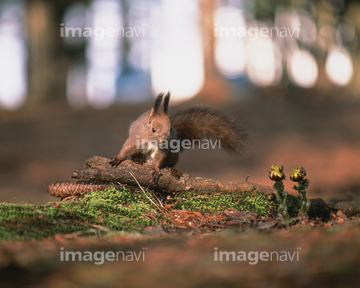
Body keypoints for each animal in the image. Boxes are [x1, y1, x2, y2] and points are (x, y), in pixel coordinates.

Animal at [109, 92, 248, 182]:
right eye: (153, 129)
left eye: (170, 129)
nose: (164, 140)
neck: (153, 141)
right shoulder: (136, 138)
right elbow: (127, 148)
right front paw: (118, 158)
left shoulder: (164, 149)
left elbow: (159, 159)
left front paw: (156, 169)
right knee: (137, 155)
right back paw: (138, 159)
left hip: (173, 154)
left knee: (169, 163)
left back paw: (172, 169)